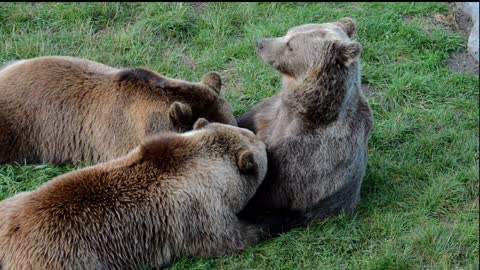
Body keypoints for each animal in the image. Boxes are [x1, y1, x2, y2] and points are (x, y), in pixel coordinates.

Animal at [0, 119, 266, 268]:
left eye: (250, 133)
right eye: (256, 139)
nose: (262, 140)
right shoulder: (200, 212)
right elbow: (230, 239)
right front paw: (265, 222)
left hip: (10, 203)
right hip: (64, 258)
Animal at [238, 17, 374, 232]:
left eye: (290, 45)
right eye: (288, 33)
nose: (260, 43)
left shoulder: (309, 153)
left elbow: (269, 186)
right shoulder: (269, 113)